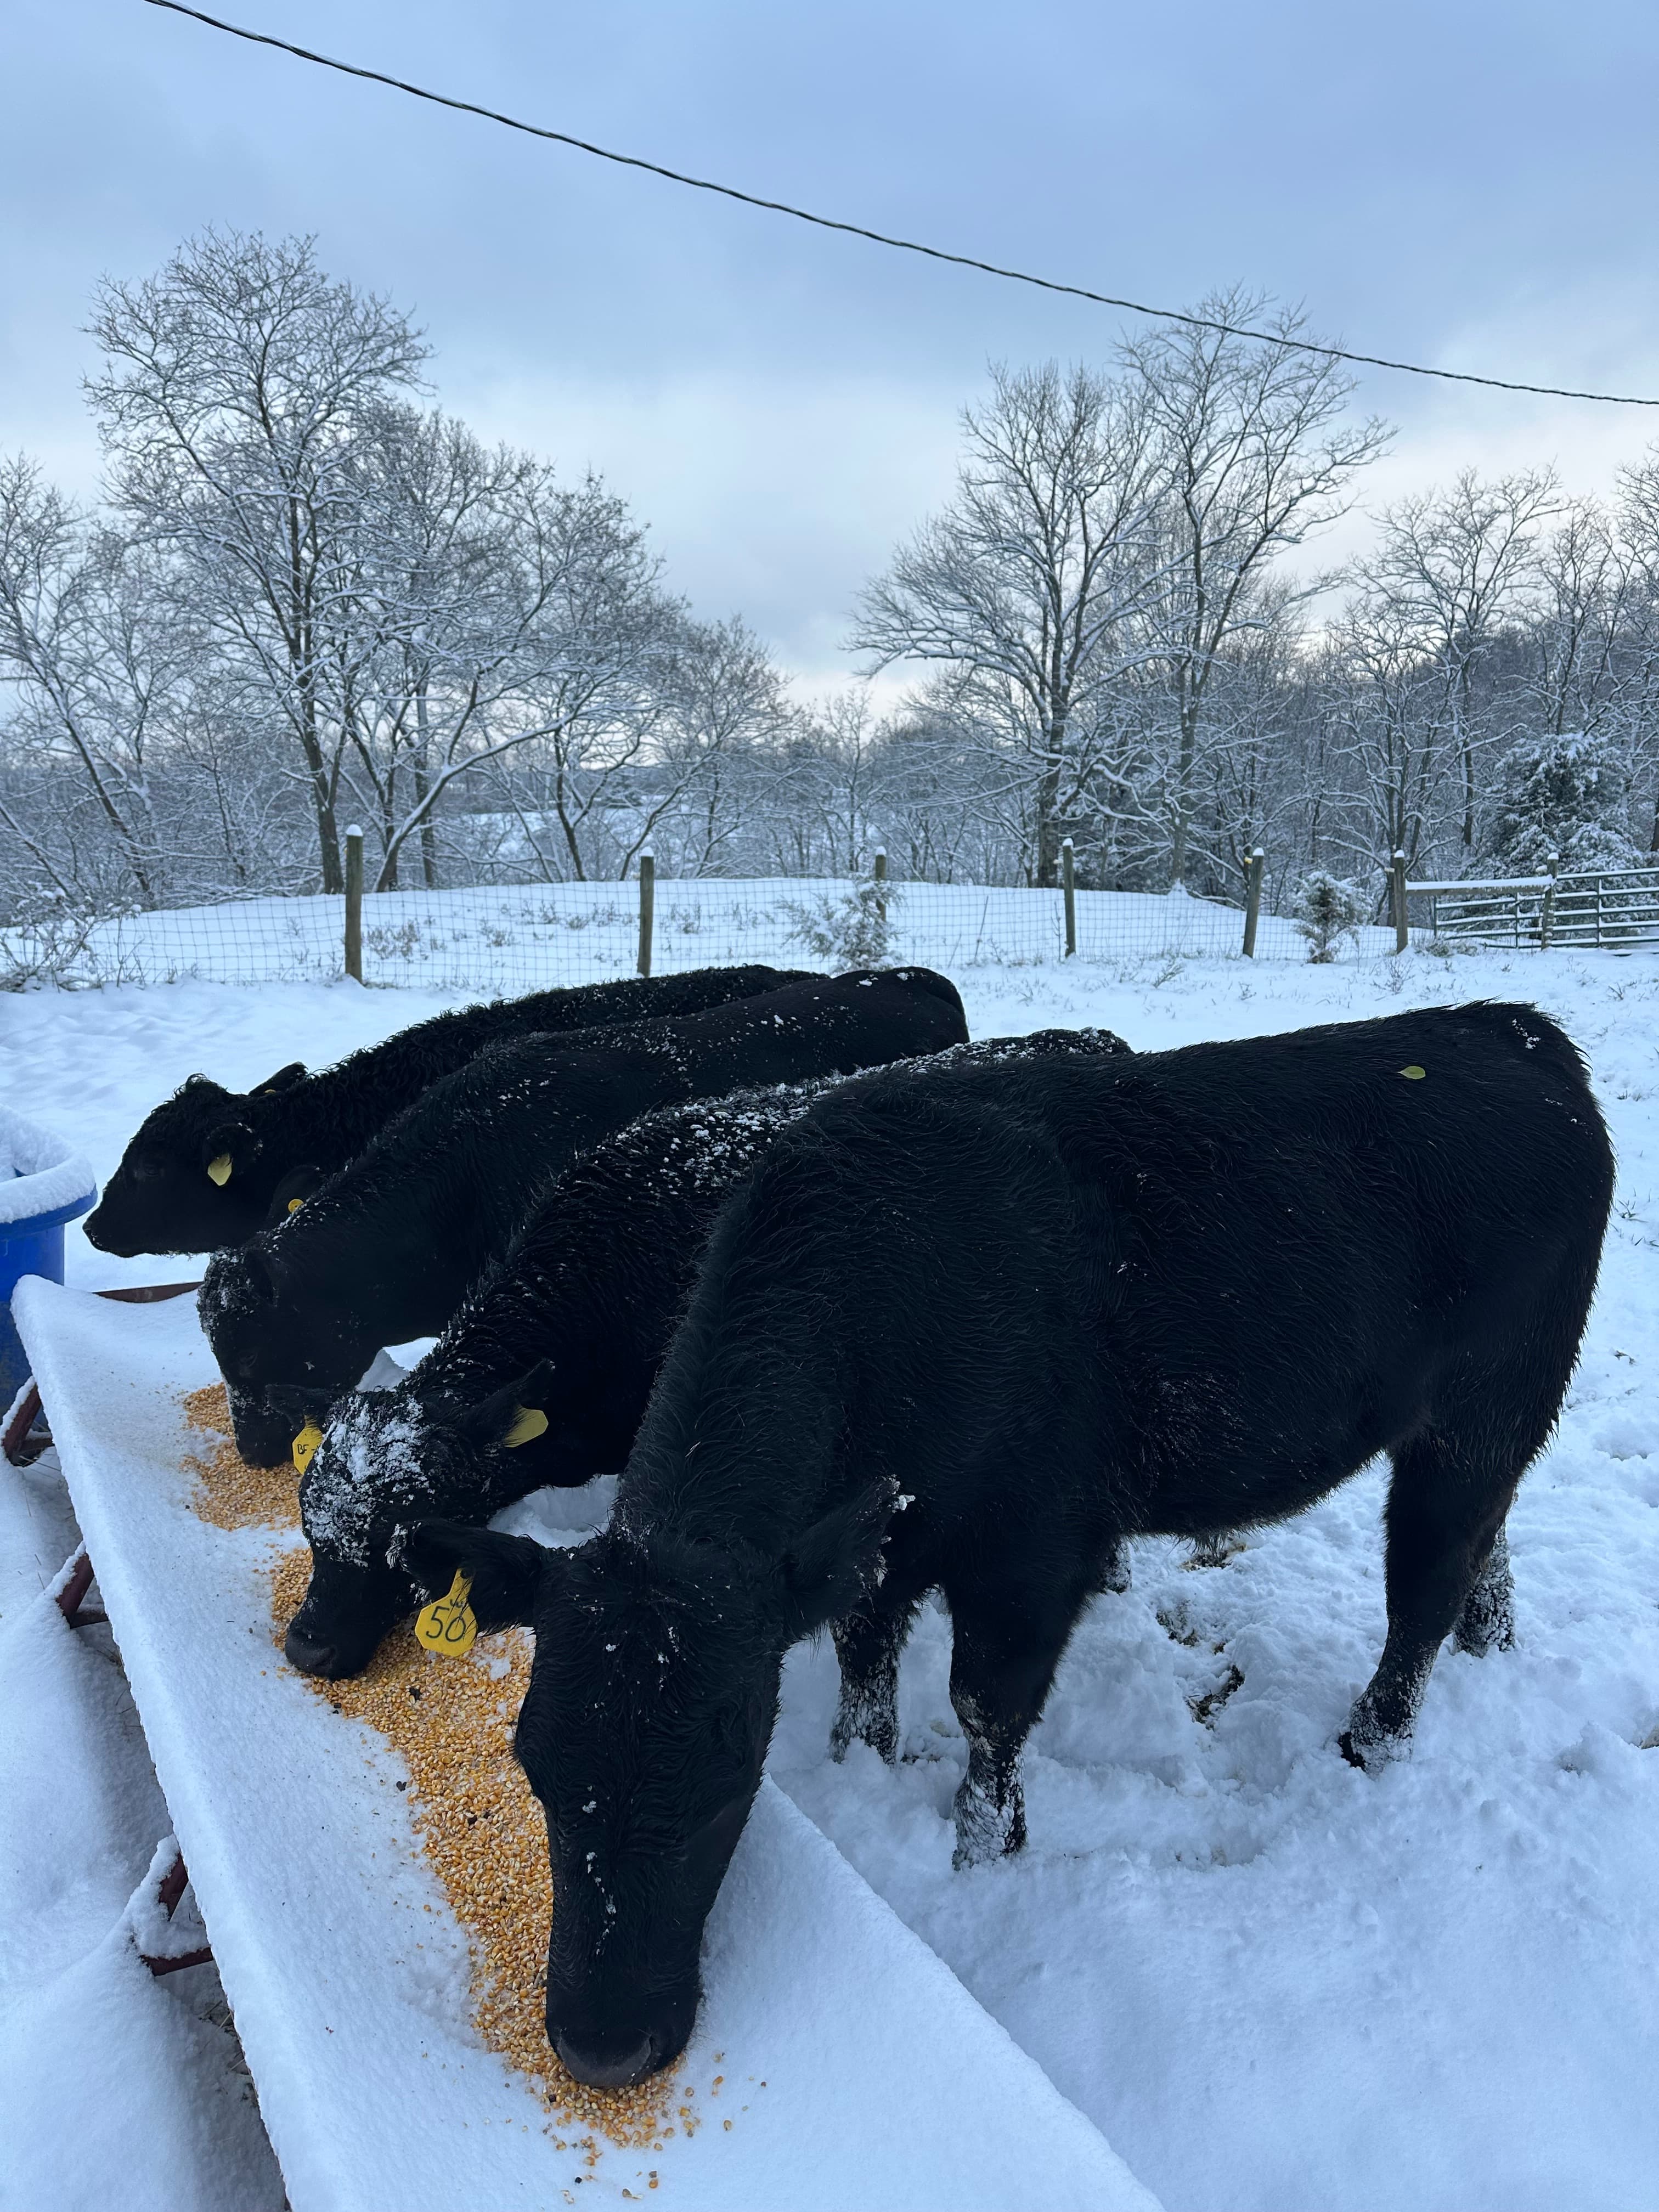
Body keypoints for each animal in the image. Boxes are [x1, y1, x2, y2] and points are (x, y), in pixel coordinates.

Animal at [405, 1001, 1614, 2091]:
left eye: (724, 1777)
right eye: (534, 1769)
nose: (600, 2049)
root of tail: (1514, 1030)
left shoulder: (1033, 1549)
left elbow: (987, 1709)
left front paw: (984, 1854)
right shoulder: (875, 1542)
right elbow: (864, 1667)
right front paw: (863, 1764)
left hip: (1485, 1410)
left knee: (1425, 1580)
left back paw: (1373, 1739)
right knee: (1482, 1549)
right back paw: (1490, 1645)